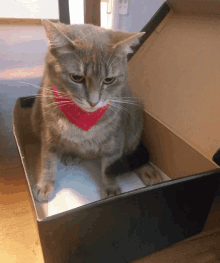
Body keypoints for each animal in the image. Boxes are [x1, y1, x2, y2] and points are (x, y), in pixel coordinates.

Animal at [31, 19, 162, 203]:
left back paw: (148, 170)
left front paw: (111, 187)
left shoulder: (114, 142)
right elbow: (47, 161)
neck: (83, 118)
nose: (93, 102)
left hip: (134, 125)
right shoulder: (48, 135)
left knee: (133, 151)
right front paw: (45, 184)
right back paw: (73, 154)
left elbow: (109, 166)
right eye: (76, 77)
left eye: (109, 80)